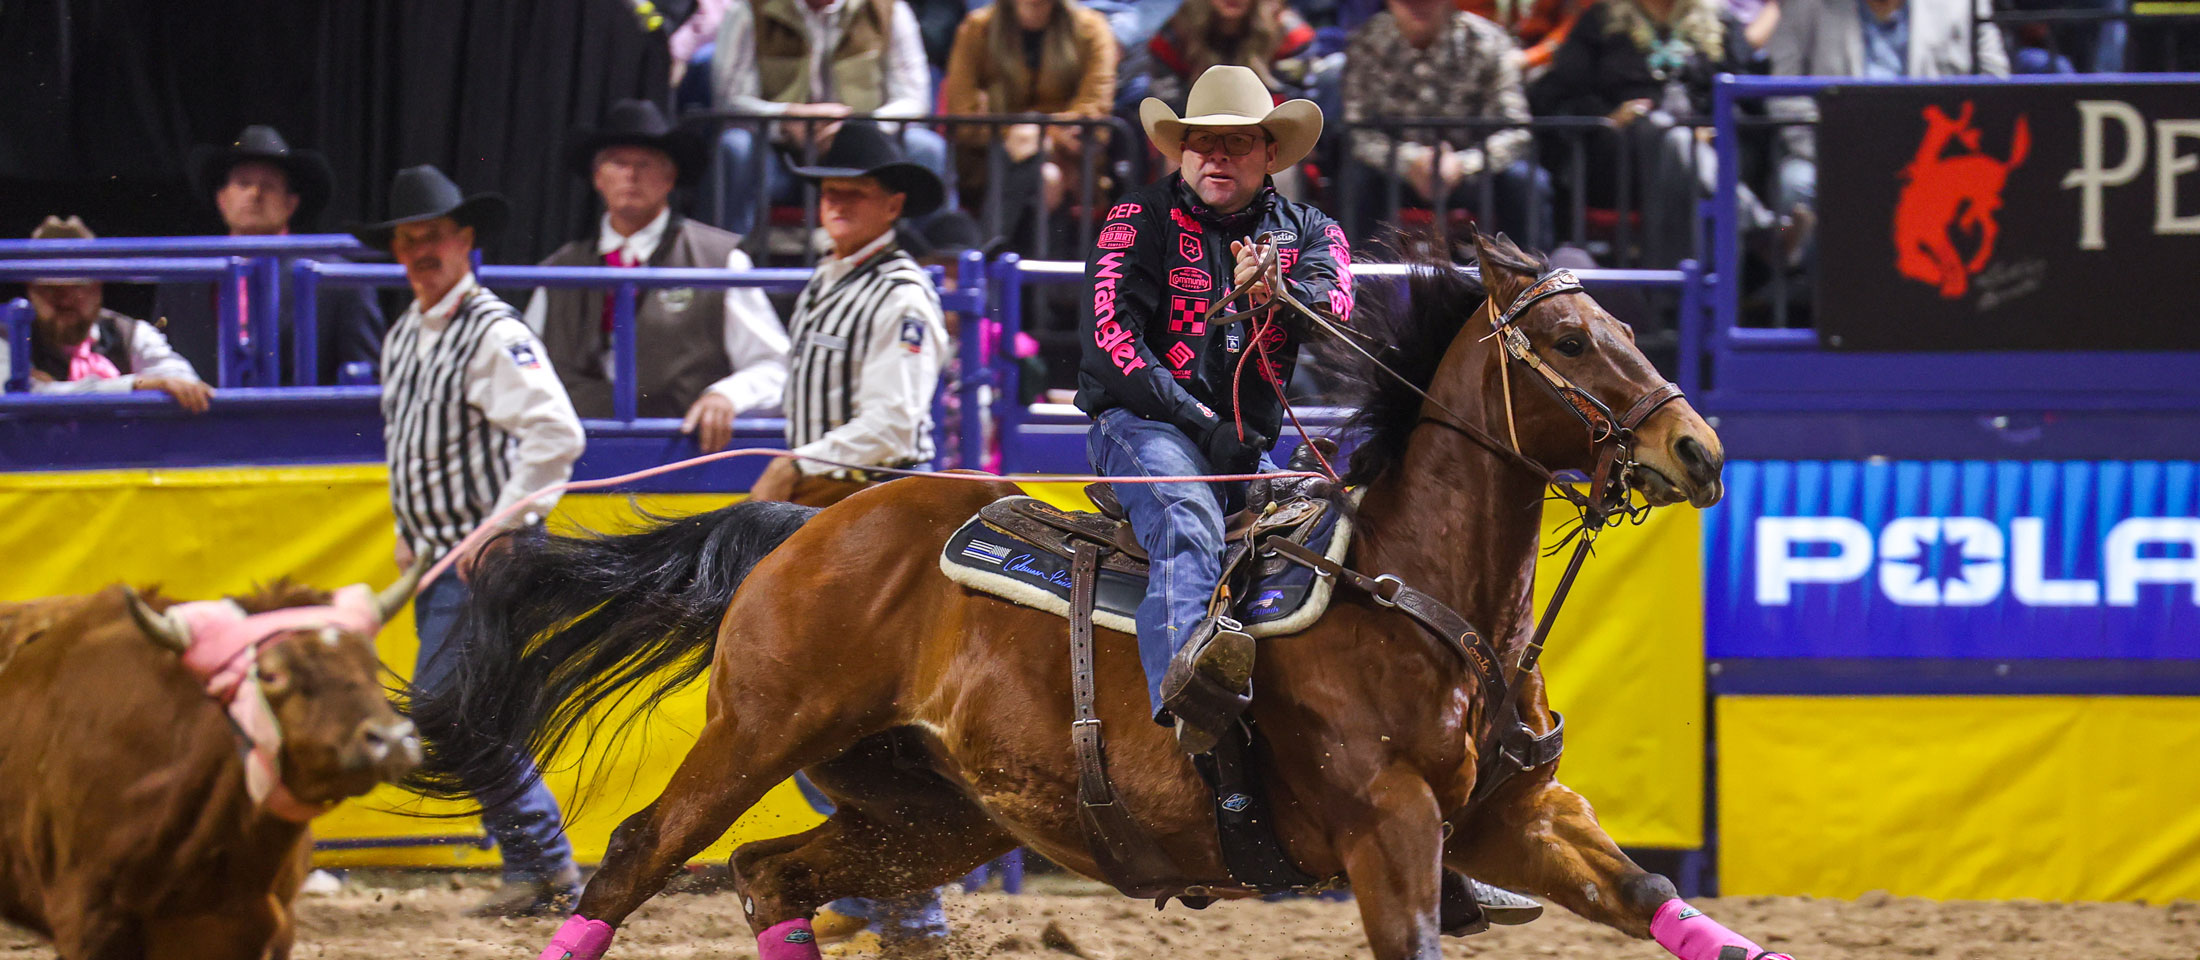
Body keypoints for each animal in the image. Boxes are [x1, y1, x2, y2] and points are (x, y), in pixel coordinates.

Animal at [413, 234, 1786, 960]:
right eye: (1570, 343)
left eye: (1627, 327)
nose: (1700, 449)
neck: (1416, 601)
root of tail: (804, 525)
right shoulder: (1388, 828)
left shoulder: (1518, 815)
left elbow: (1657, 902)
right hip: (757, 733)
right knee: (640, 857)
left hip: (936, 808)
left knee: (769, 875)